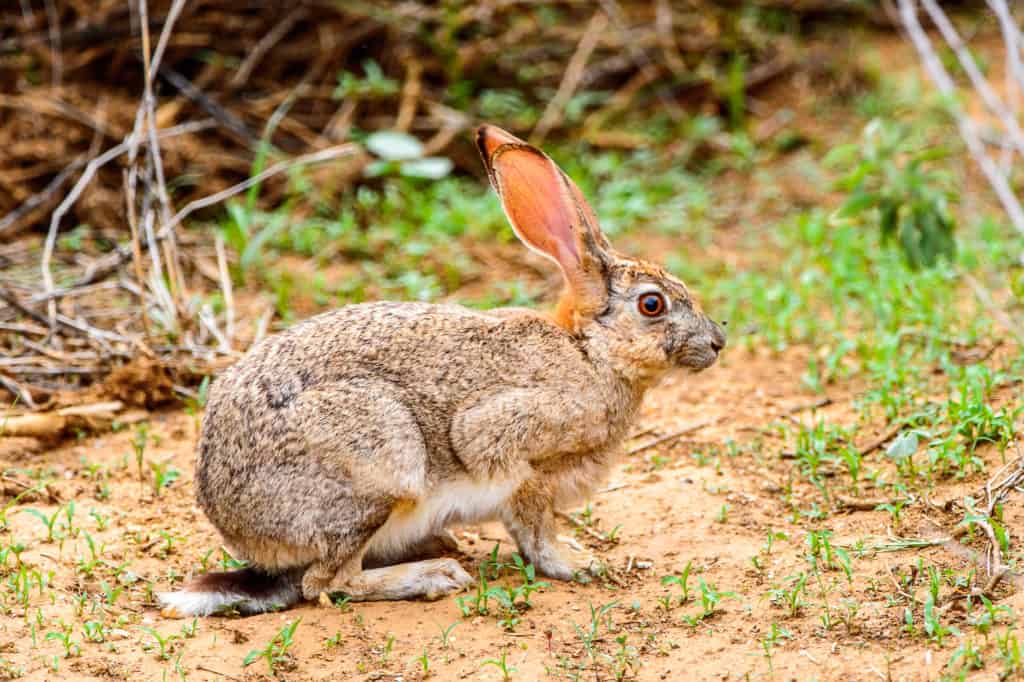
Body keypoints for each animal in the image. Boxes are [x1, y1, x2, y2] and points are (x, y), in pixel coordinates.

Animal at [158, 124, 726, 617]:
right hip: (382, 465)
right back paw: (434, 575)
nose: (717, 343)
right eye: (652, 305)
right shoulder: (517, 455)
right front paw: (578, 563)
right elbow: (533, 525)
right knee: (327, 582)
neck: (591, 351)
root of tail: (236, 524)